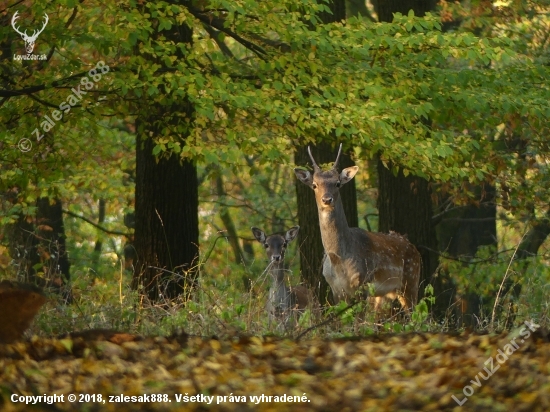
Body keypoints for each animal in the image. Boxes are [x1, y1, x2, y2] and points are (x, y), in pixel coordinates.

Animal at [298, 143, 422, 314]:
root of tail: (414, 249)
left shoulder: (362, 283)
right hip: (385, 293)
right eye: (314, 185)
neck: (338, 259)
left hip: (411, 280)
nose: (327, 199)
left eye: (337, 183)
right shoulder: (336, 289)